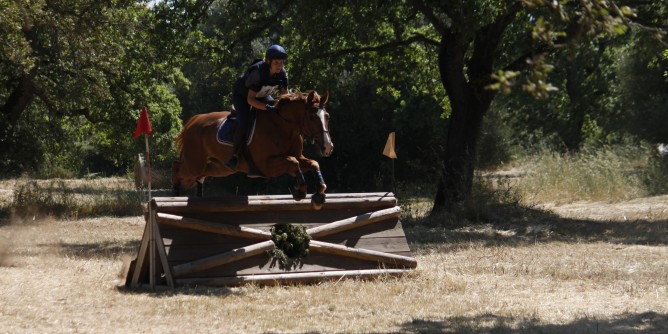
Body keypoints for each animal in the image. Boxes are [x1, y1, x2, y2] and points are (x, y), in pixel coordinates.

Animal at [172, 91, 334, 209]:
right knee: (178, 169)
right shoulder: (266, 166)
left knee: (199, 175)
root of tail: (193, 122)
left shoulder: (298, 156)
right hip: (194, 165)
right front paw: (300, 190)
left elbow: (312, 163)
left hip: (218, 168)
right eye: (312, 117)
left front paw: (319, 194)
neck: (283, 126)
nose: (328, 147)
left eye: (327, 116)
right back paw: (175, 195)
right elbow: (293, 163)